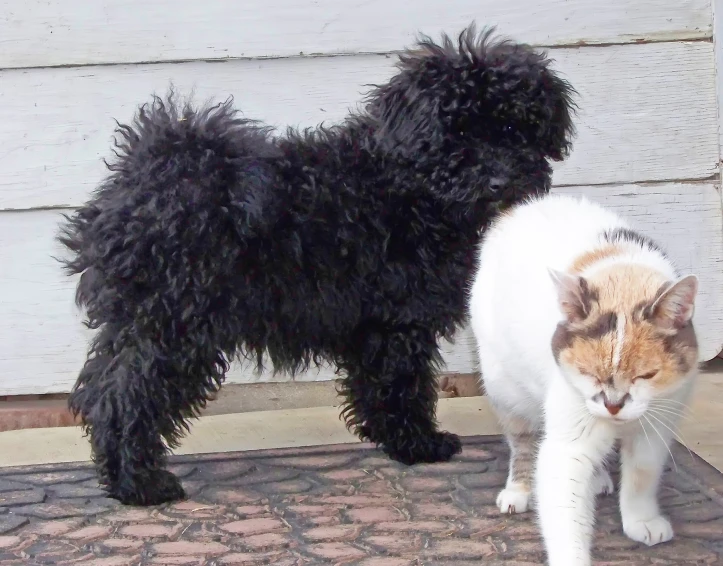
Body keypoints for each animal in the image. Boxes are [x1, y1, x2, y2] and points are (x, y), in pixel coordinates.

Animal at [58, 26, 576, 508]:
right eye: (460, 132)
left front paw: (398, 440)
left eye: (516, 129)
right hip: (173, 324)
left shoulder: (375, 324)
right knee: (127, 395)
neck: (407, 187)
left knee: (104, 386)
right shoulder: (396, 321)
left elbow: (378, 385)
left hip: (142, 320)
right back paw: (139, 484)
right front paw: (417, 444)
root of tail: (152, 174)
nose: (500, 180)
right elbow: (402, 382)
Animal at [470, 196, 700, 566]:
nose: (613, 405)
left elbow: (642, 476)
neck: (624, 274)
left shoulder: (657, 424)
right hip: (504, 387)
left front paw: (641, 520)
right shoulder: (568, 444)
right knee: (521, 443)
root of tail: (524, 205)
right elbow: (565, 510)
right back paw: (518, 490)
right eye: (588, 373)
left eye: (647, 375)